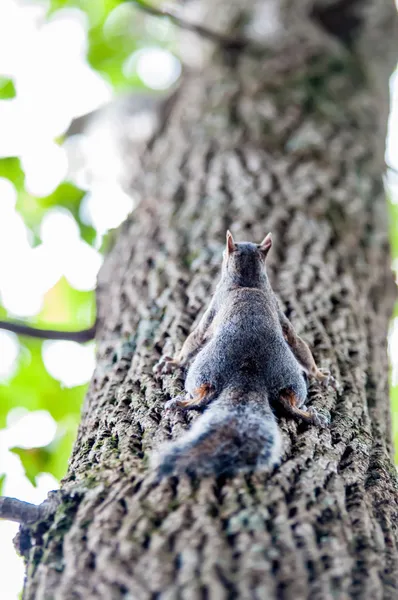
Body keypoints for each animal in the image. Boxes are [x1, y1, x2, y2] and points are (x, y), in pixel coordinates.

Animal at [152, 231, 336, 478]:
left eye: (224, 252)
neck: (249, 282)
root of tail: (249, 373)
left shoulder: (214, 306)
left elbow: (195, 337)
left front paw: (172, 362)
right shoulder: (278, 308)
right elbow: (296, 340)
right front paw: (320, 375)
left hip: (202, 370)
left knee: (205, 393)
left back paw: (180, 404)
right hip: (293, 380)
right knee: (289, 403)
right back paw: (312, 416)